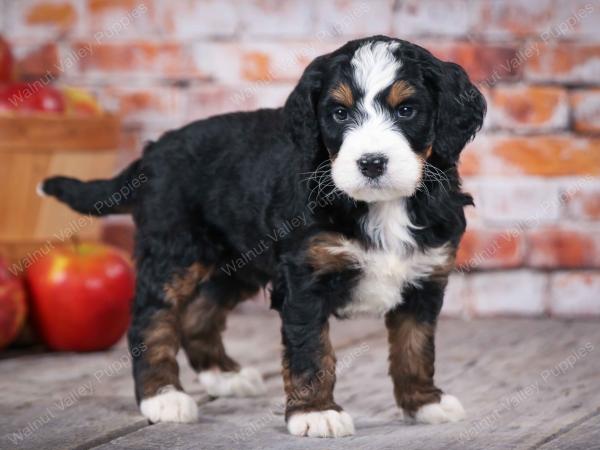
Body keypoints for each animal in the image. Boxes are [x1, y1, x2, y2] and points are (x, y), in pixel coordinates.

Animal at [39, 36, 486, 440]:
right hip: (174, 249)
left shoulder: (425, 278)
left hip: (236, 261)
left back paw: (223, 376)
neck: (382, 206)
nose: (372, 163)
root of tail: (153, 152)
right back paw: (163, 396)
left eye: (407, 110)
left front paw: (425, 402)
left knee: (199, 312)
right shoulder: (305, 278)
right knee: (153, 318)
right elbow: (311, 351)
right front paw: (315, 413)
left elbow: (415, 347)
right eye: (339, 113)